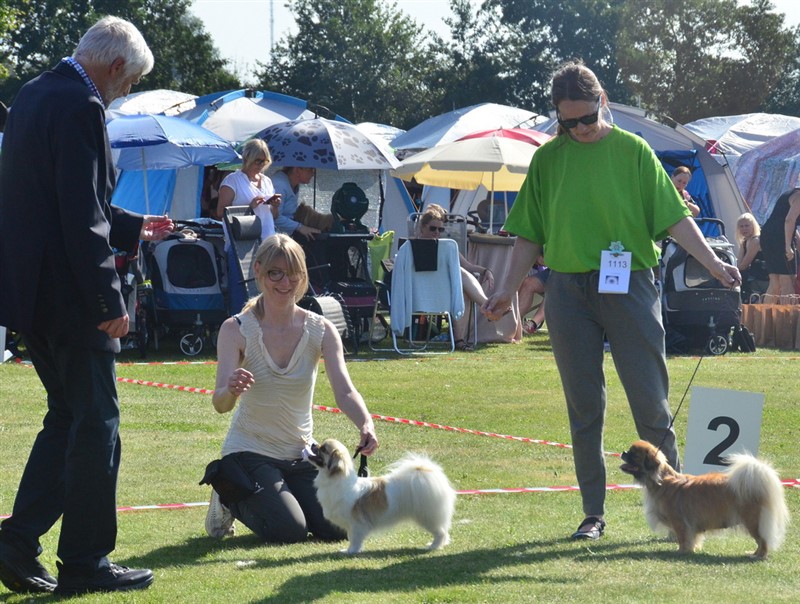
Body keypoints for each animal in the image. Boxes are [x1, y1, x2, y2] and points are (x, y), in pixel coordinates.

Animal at [308, 438, 456, 552]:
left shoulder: (357, 524)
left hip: (427, 516)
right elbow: (351, 537)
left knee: (441, 532)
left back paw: (433, 546)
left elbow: (354, 539)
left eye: (323, 449)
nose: (313, 444)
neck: (337, 482)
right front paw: (349, 550)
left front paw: (351, 551)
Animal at [620, 442, 788, 560]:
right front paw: (692, 550)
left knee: (763, 541)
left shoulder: (680, 523)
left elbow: (683, 539)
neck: (661, 481)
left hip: (753, 522)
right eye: (629, 451)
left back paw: (758, 556)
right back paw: (753, 553)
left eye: (634, 454)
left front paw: (681, 552)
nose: (623, 452)